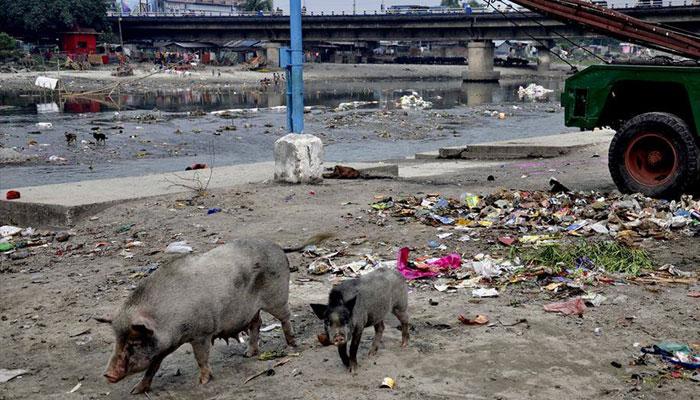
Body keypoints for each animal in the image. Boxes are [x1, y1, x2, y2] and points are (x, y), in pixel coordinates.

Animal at [96, 234, 328, 394]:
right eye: (117, 339)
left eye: (134, 342)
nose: (107, 374)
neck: (166, 318)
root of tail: (278, 247)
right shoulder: (162, 345)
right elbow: (153, 366)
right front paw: (136, 390)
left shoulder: (202, 333)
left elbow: (201, 358)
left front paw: (202, 383)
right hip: (252, 309)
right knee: (257, 323)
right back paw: (249, 354)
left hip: (277, 296)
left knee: (285, 317)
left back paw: (292, 345)